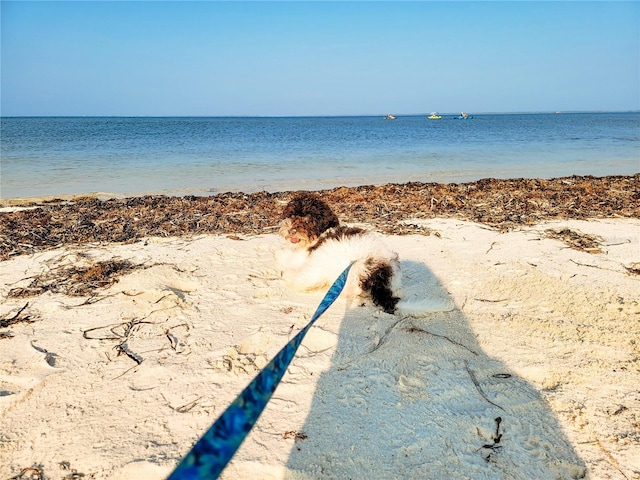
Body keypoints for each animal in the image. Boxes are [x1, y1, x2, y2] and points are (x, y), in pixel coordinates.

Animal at [276, 193, 456, 316]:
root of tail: (377, 274)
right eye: (291, 215)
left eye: (307, 220)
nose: (290, 230)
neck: (322, 233)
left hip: (324, 264)